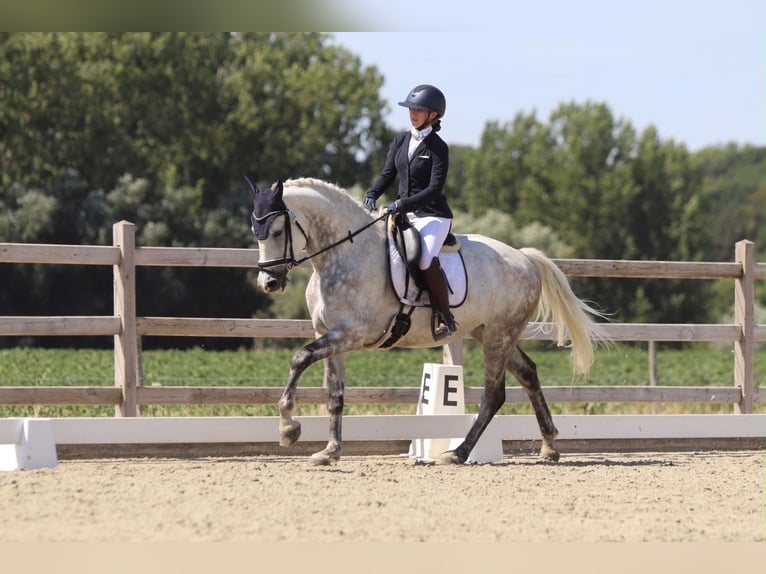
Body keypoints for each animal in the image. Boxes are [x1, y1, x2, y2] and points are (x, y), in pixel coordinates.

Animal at [246, 176, 607, 465]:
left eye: (277, 231)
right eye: (256, 232)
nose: (269, 284)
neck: (344, 255)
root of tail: (525, 258)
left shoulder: (352, 333)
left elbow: (299, 357)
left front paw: (288, 428)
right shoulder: (330, 334)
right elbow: (334, 394)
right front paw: (329, 451)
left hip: (498, 335)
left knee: (494, 394)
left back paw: (458, 453)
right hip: (490, 333)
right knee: (529, 373)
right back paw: (549, 446)